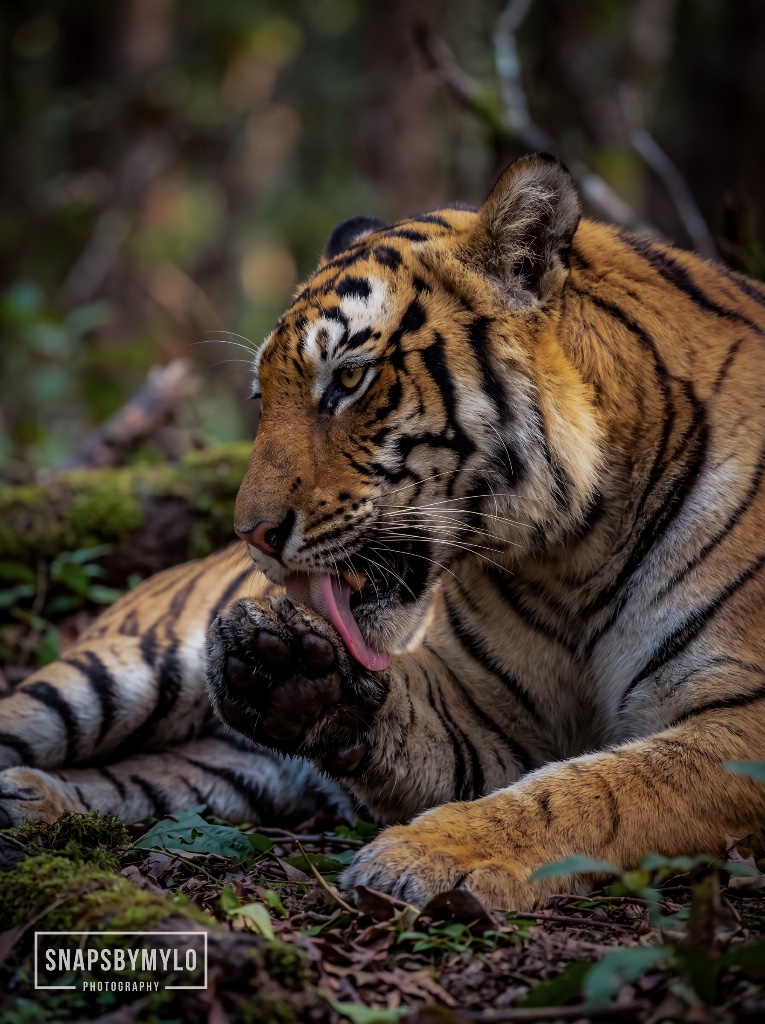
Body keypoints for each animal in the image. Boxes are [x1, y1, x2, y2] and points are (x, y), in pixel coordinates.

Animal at [2, 152, 765, 911]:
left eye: (347, 380)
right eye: (262, 396)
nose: (250, 532)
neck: (571, 553)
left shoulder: (742, 717)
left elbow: (596, 788)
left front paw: (426, 851)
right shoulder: (491, 722)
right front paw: (289, 670)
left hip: (228, 770)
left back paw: (36, 799)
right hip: (118, 671)